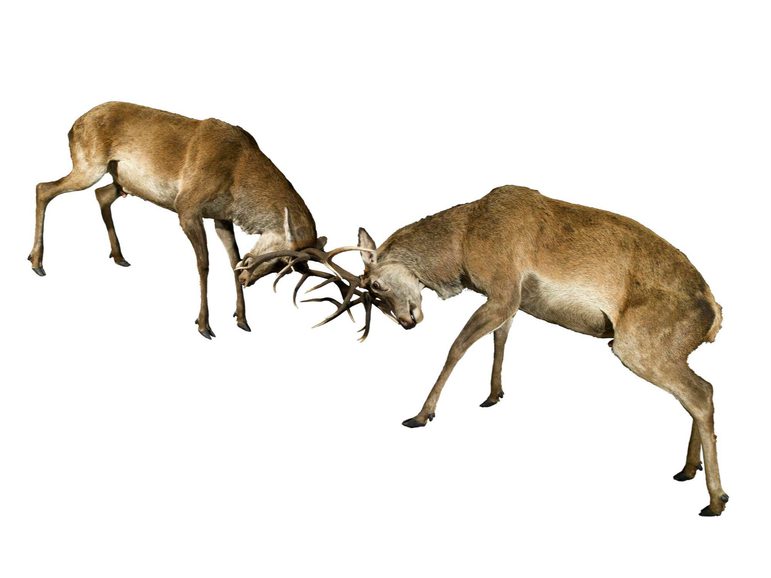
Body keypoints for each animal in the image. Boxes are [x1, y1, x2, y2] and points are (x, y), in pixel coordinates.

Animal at [28, 101, 330, 338]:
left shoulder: (221, 217)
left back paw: (118, 255)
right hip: (89, 166)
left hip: (121, 180)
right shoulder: (187, 207)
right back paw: (37, 262)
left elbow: (232, 260)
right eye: (282, 259)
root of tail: (73, 125)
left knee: (100, 195)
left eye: (288, 268)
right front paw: (204, 324)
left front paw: (242, 319)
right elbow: (204, 264)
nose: (248, 280)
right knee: (43, 188)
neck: (238, 177)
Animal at [264, 184, 728, 516]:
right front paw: (492, 395)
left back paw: (715, 500)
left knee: (701, 392)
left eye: (375, 285)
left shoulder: (502, 291)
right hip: (659, 351)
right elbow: (500, 339)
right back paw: (687, 471)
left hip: (635, 346)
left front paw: (420, 415)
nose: (408, 321)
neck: (463, 239)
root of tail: (713, 311)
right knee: (698, 391)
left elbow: (457, 347)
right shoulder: (512, 302)